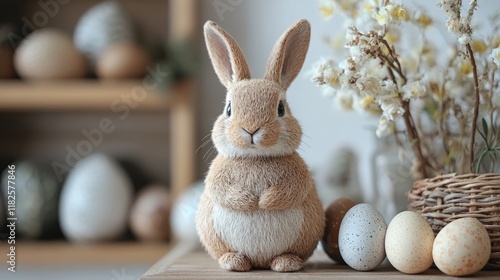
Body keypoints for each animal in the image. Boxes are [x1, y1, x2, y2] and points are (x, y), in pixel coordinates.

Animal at [195, 18, 324, 272]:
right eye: (229, 109)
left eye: (281, 109)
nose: (251, 129)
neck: (255, 157)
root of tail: (261, 261)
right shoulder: (217, 177)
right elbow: (221, 190)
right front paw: (250, 201)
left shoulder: (299, 178)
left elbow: (292, 190)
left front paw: (264, 201)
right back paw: (235, 261)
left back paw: (285, 263)